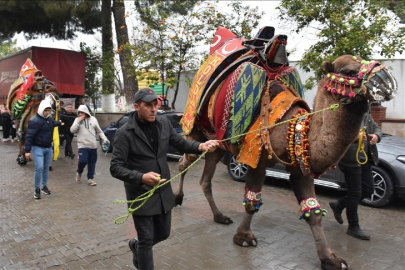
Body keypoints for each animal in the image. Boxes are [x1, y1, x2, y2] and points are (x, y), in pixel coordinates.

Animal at [174, 25, 394, 270]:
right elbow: (252, 201)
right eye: (348, 69)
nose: (386, 79)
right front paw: (244, 237)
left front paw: (330, 259)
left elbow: (313, 211)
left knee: (205, 179)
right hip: (196, 130)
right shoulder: (256, 157)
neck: (291, 125)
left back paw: (219, 216)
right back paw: (178, 198)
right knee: (183, 161)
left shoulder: (300, 164)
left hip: (219, 144)